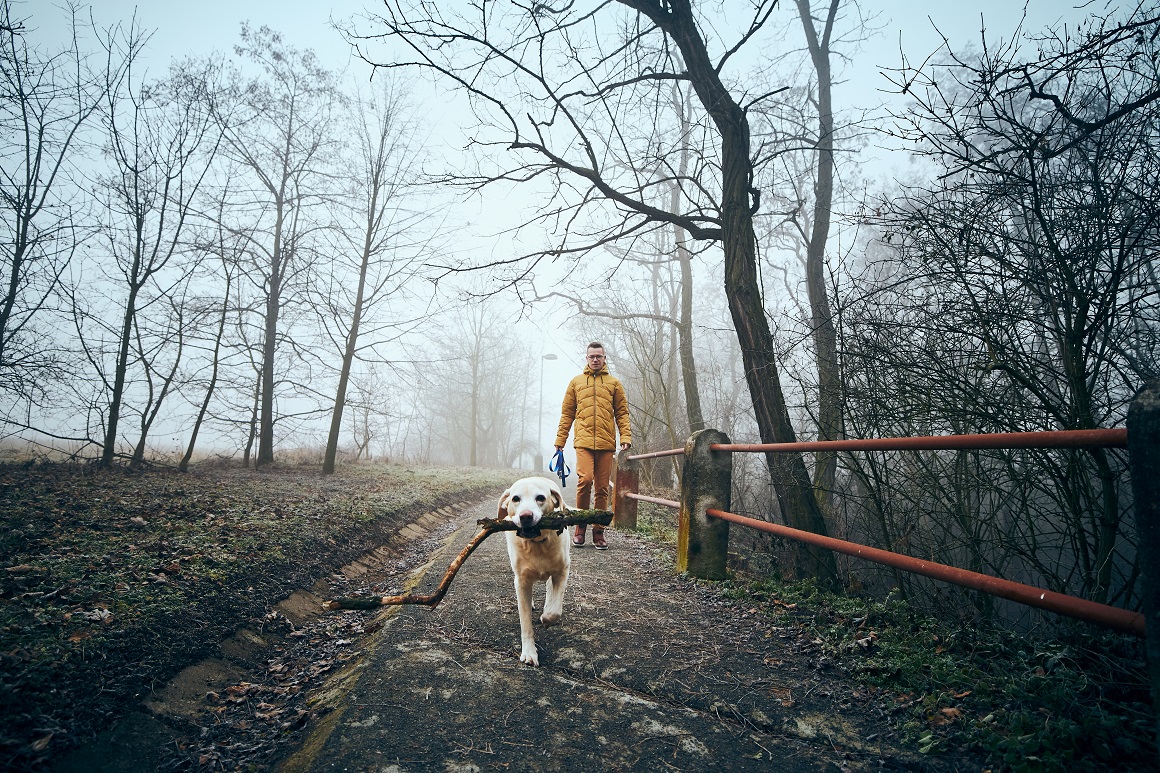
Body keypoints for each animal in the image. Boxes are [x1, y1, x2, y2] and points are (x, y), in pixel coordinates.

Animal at [498, 473, 570, 663]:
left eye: (540, 498)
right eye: (515, 499)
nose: (525, 516)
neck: (536, 544)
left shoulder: (562, 571)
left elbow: (555, 610)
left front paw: (547, 618)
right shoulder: (521, 581)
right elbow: (525, 622)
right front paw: (529, 653)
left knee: (550, 591)